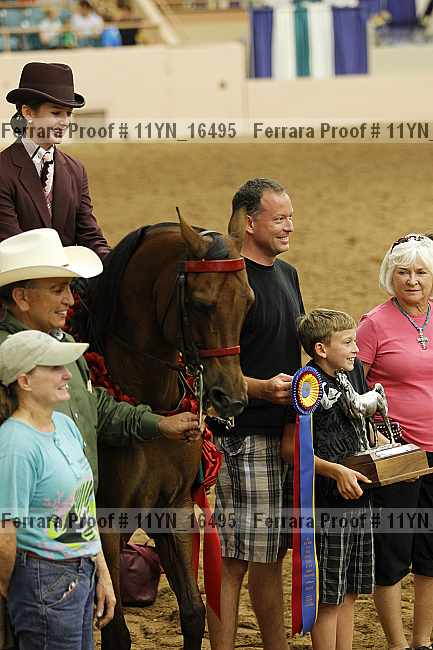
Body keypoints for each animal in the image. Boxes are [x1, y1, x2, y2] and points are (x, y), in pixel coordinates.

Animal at [81, 210, 254, 650]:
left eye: (248, 301)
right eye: (200, 303)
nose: (231, 397)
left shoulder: (173, 509)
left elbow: (193, 614)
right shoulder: (107, 524)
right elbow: (116, 632)